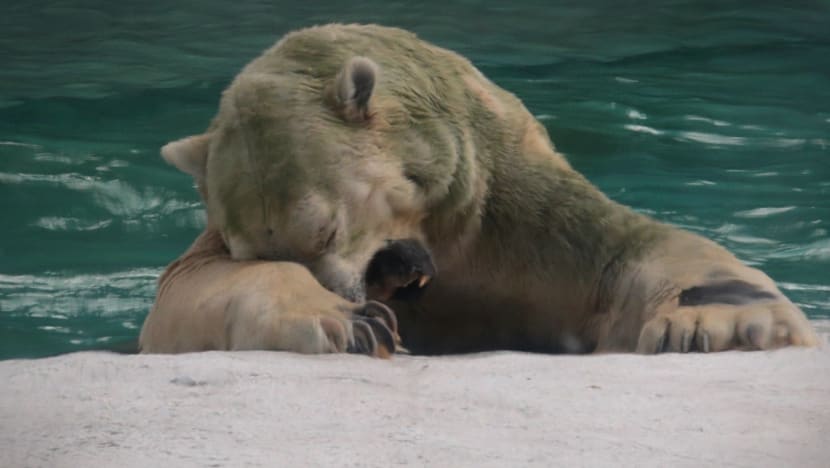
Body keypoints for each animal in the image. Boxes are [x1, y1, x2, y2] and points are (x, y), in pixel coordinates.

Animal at [158, 23, 818, 354]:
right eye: (252, 249)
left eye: (326, 229)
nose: (349, 292)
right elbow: (187, 288)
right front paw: (355, 321)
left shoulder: (507, 207)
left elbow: (620, 250)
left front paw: (722, 322)